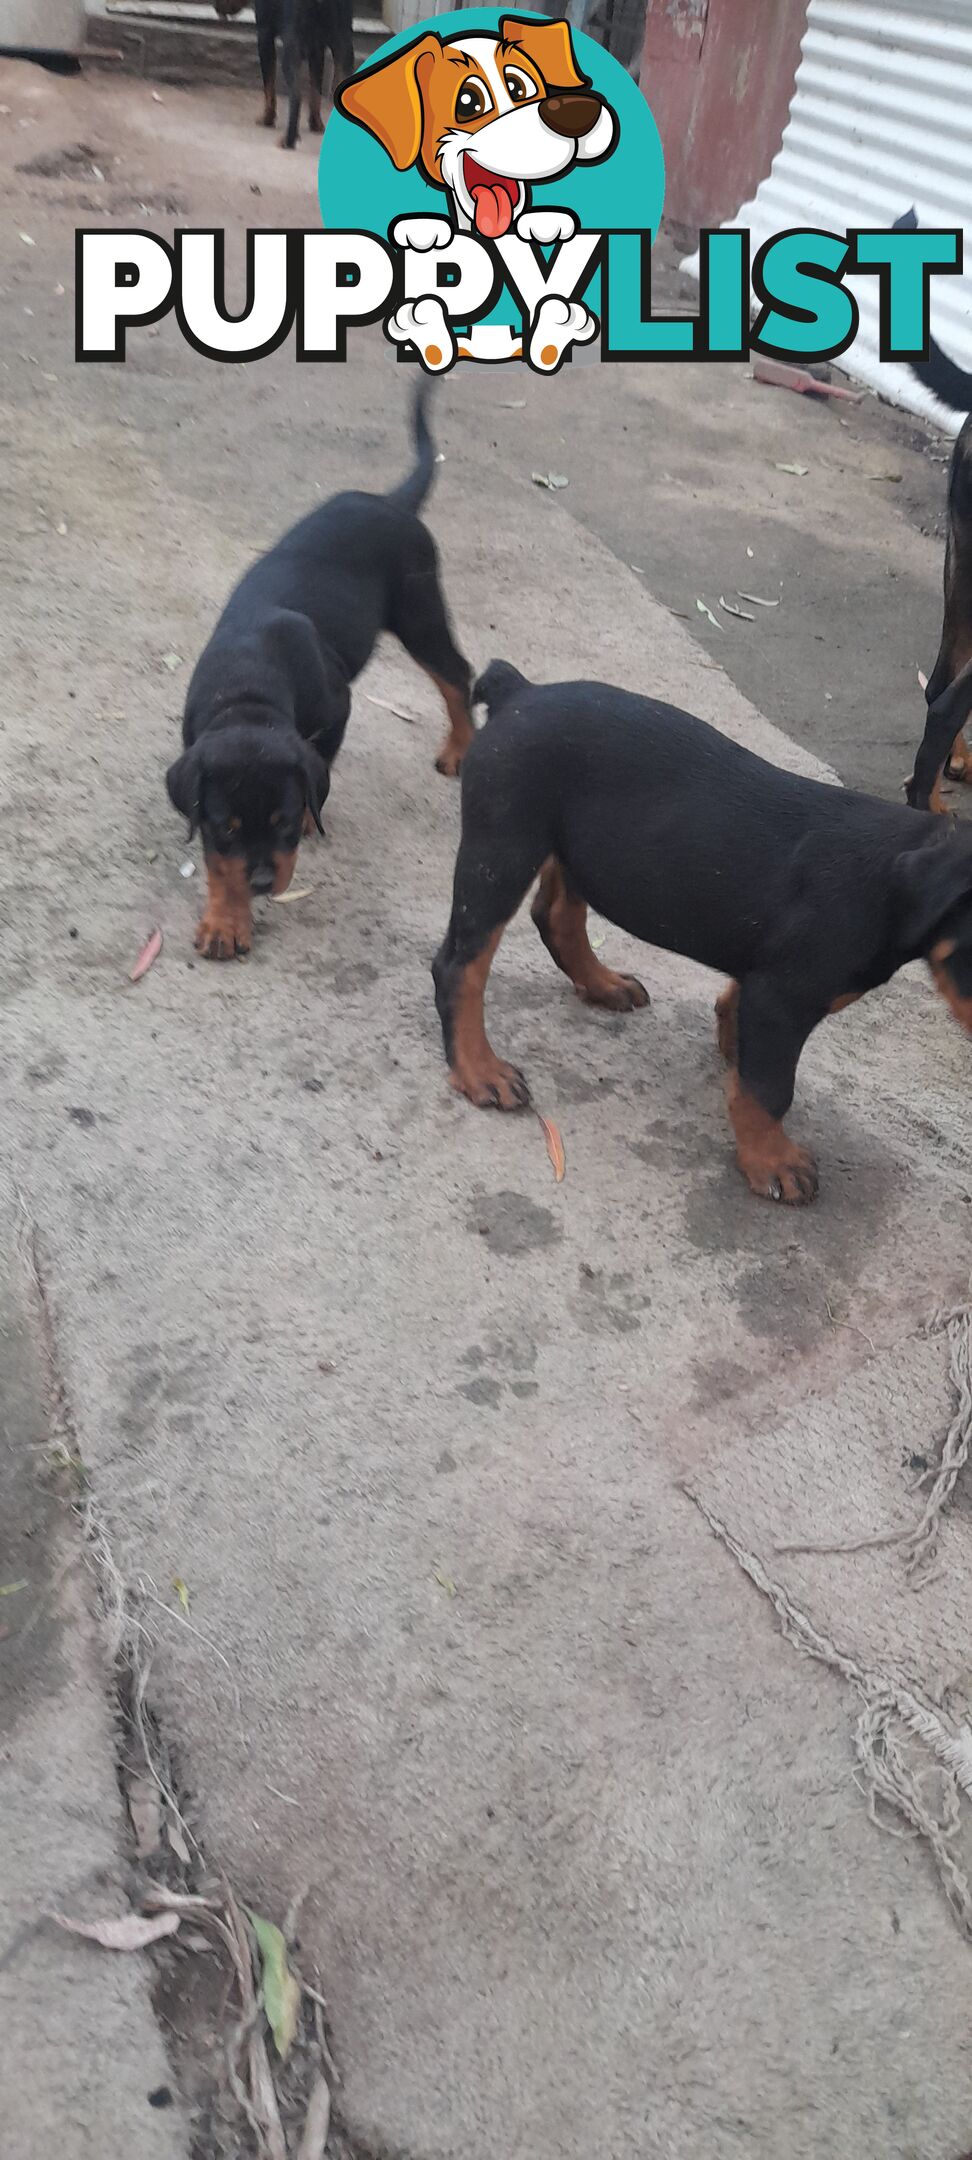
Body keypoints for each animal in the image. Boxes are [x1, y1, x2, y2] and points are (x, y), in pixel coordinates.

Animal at [168, 390, 475, 963]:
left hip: (419, 611)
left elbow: (321, 765)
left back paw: (460, 749)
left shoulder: (339, 708)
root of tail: (390, 502)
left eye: (284, 822)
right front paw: (225, 919)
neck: (247, 685)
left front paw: (314, 817)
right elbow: (219, 861)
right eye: (227, 826)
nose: (264, 883)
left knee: (456, 674)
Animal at [254, 0, 352, 146]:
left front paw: (267, 119)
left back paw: (289, 140)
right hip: (344, 43)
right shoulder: (318, 48)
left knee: (296, 95)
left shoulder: (264, 34)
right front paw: (316, 125)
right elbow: (315, 93)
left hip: (291, 47)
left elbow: (269, 86)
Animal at [434, 660, 972, 1200]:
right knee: (460, 964)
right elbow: (771, 1089)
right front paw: (771, 1160)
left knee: (557, 917)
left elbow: (742, 1031)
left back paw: (603, 984)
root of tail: (518, 693)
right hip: (502, 849)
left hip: (575, 849)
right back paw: (480, 1070)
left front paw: (734, 1060)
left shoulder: (763, 978)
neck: (895, 885)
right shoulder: (782, 998)